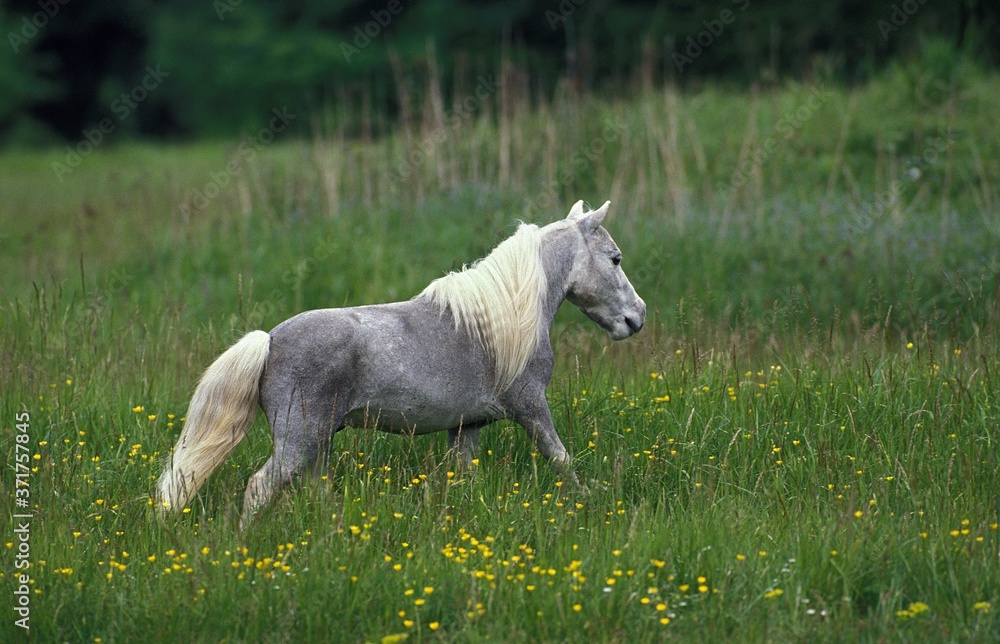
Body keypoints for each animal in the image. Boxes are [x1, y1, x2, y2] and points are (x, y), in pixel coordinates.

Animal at [156, 200, 646, 528]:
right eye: (616, 258)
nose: (636, 317)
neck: (502, 321)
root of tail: (269, 341)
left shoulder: (467, 426)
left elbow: (463, 478)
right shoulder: (531, 406)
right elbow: (562, 460)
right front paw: (589, 503)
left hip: (317, 444)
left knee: (316, 492)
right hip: (298, 442)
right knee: (259, 489)